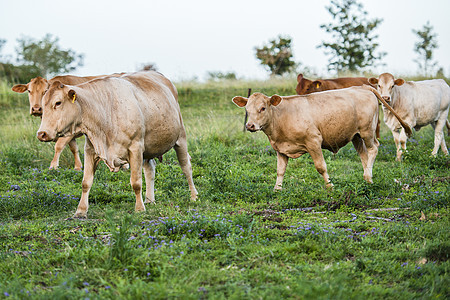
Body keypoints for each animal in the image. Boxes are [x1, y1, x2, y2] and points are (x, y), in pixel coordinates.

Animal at [35, 71, 197, 219]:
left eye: (58, 102)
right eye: (42, 105)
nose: (41, 133)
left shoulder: (136, 148)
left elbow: (136, 182)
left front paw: (139, 208)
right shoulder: (90, 149)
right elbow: (86, 182)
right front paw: (80, 211)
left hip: (180, 137)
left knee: (186, 167)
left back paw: (193, 196)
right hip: (149, 148)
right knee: (150, 169)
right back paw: (149, 200)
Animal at [232, 86, 412, 189]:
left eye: (263, 108)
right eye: (247, 109)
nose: (250, 125)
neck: (281, 117)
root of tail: (363, 87)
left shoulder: (313, 142)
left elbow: (321, 167)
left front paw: (330, 186)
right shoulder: (280, 149)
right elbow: (280, 170)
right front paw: (277, 189)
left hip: (367, 130)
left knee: (374, 148)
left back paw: (367, 175)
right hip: (355, 136)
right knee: (363, 154)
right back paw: (367, 178)